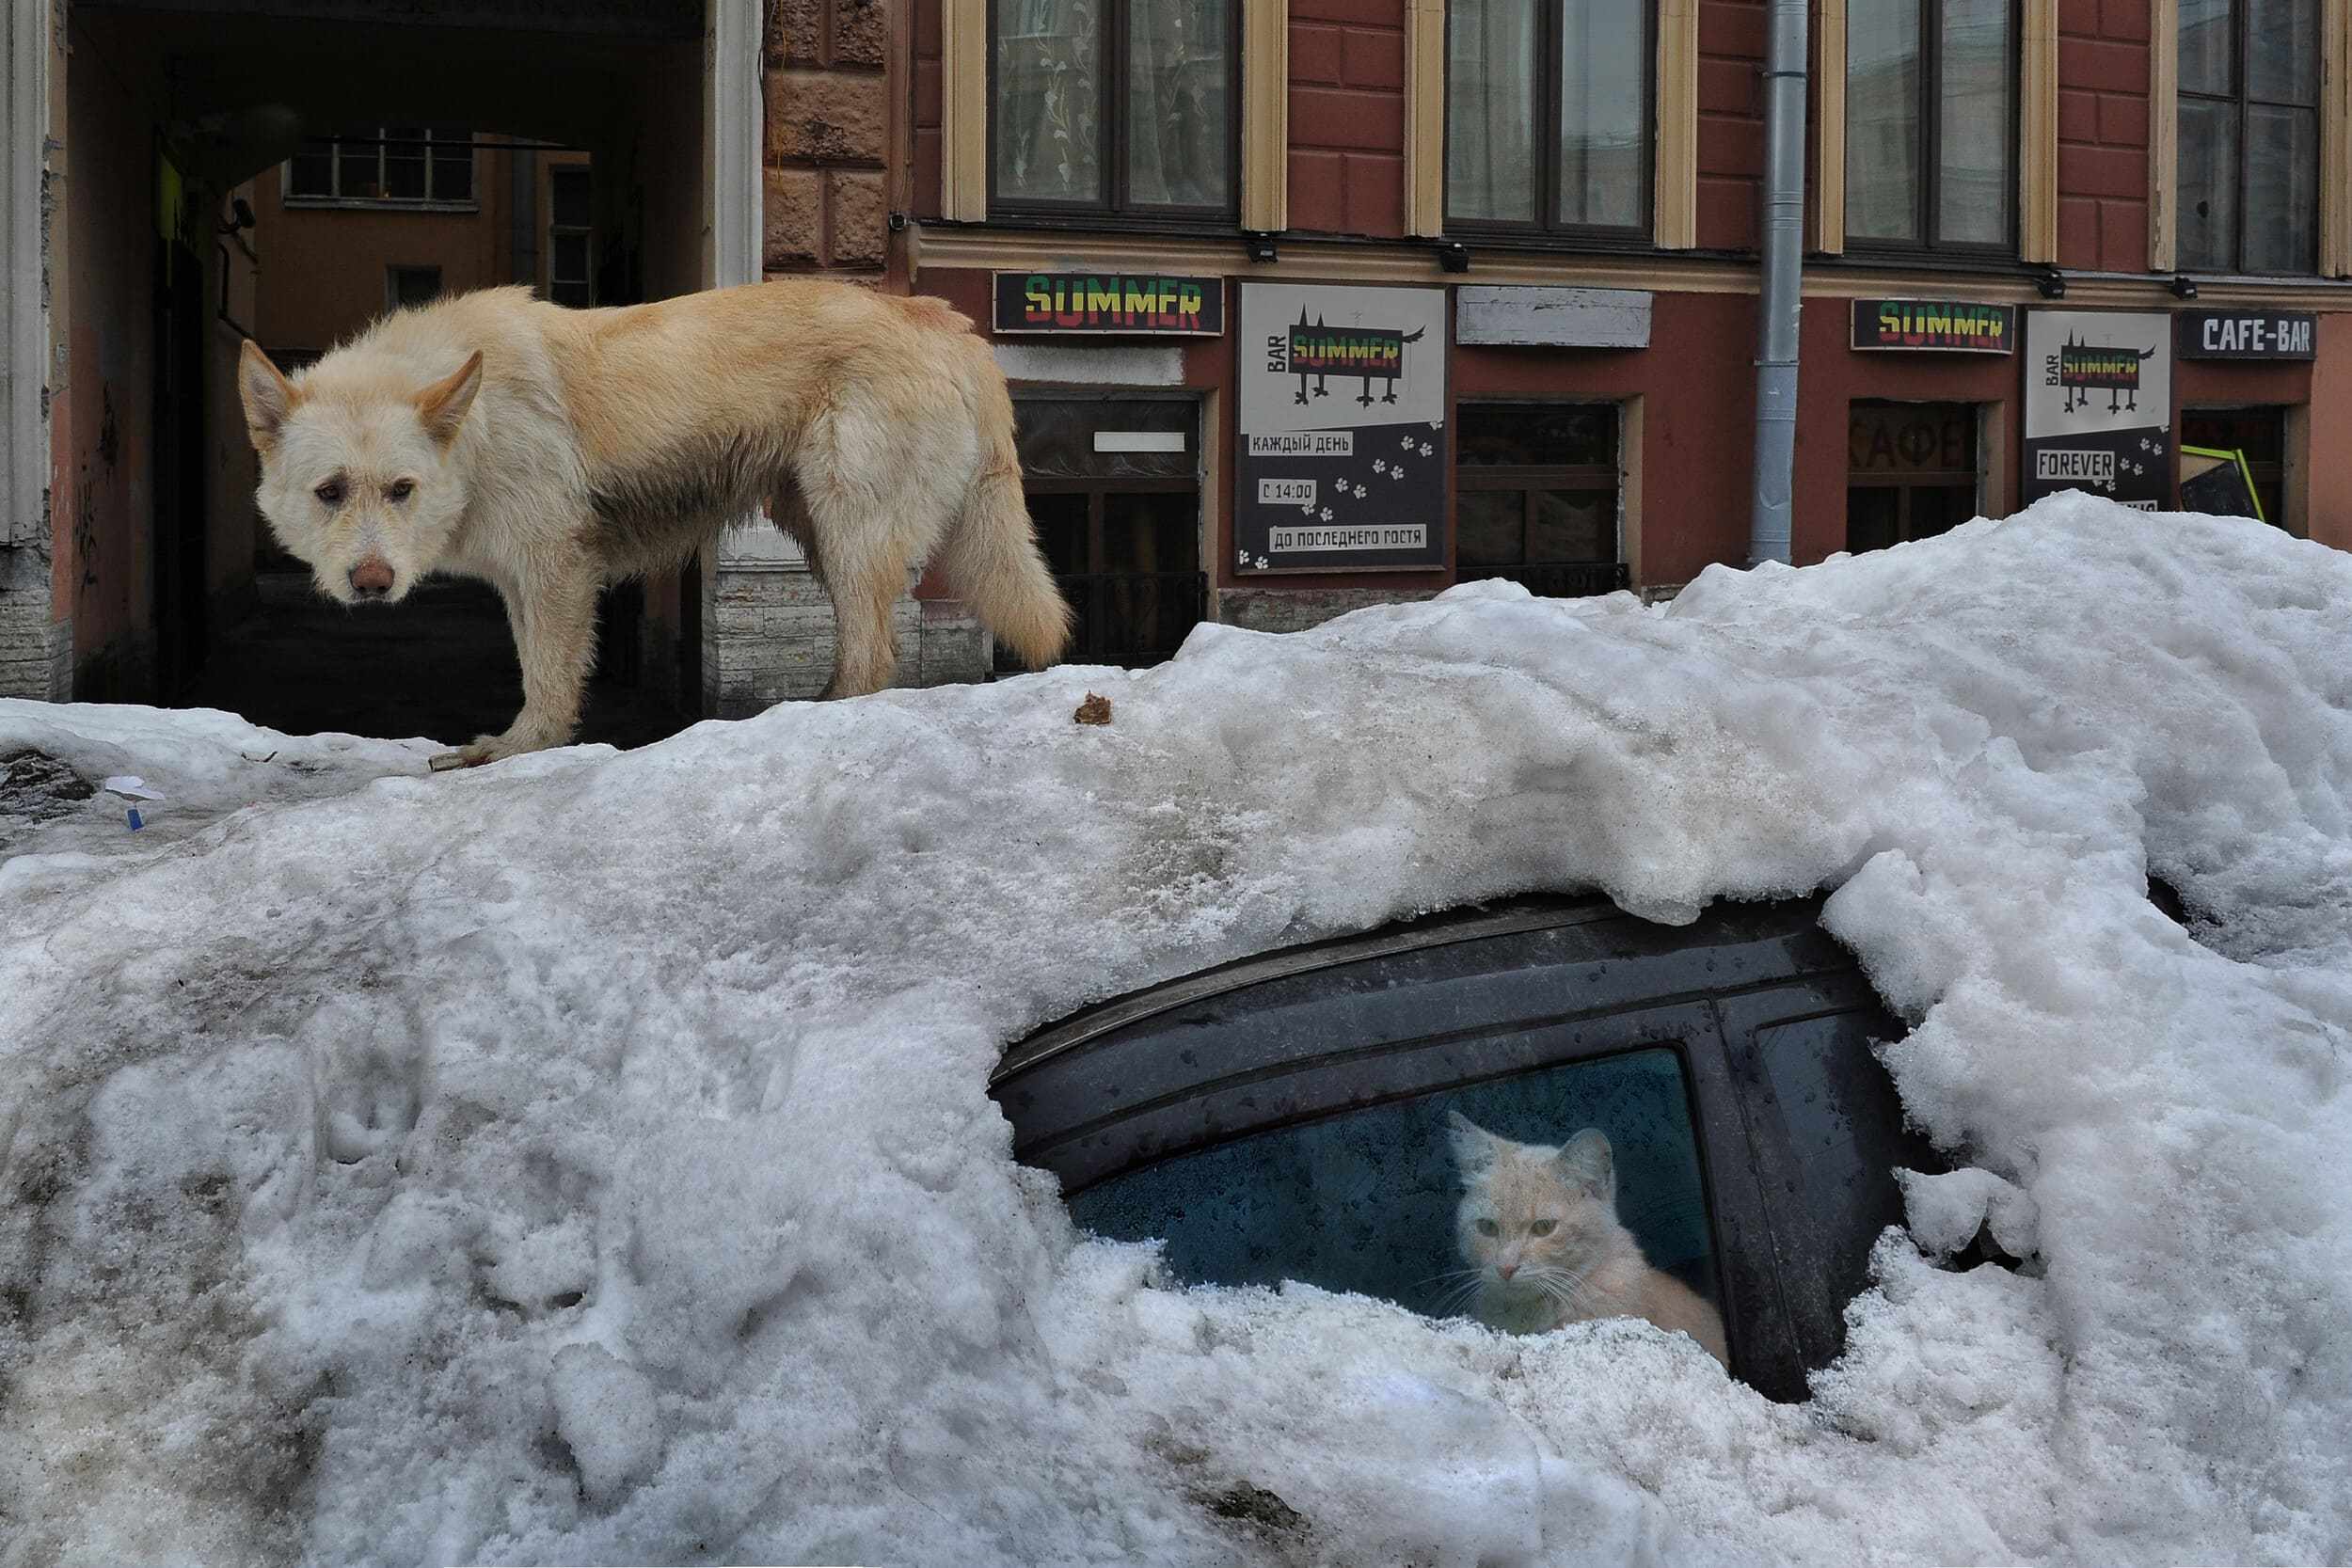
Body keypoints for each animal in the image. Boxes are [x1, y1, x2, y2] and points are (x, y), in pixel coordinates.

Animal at [237, 281, 1072, 765]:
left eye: (401, 489)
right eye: (330, 492)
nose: (372, 583)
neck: (476, 421)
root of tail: (940, 319)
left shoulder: (553, 568)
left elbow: (548, 677)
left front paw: (519, 750)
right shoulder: (525, 576)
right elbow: (538, 666)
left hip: (850, 527)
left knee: (875, 658)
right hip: (814, 526)